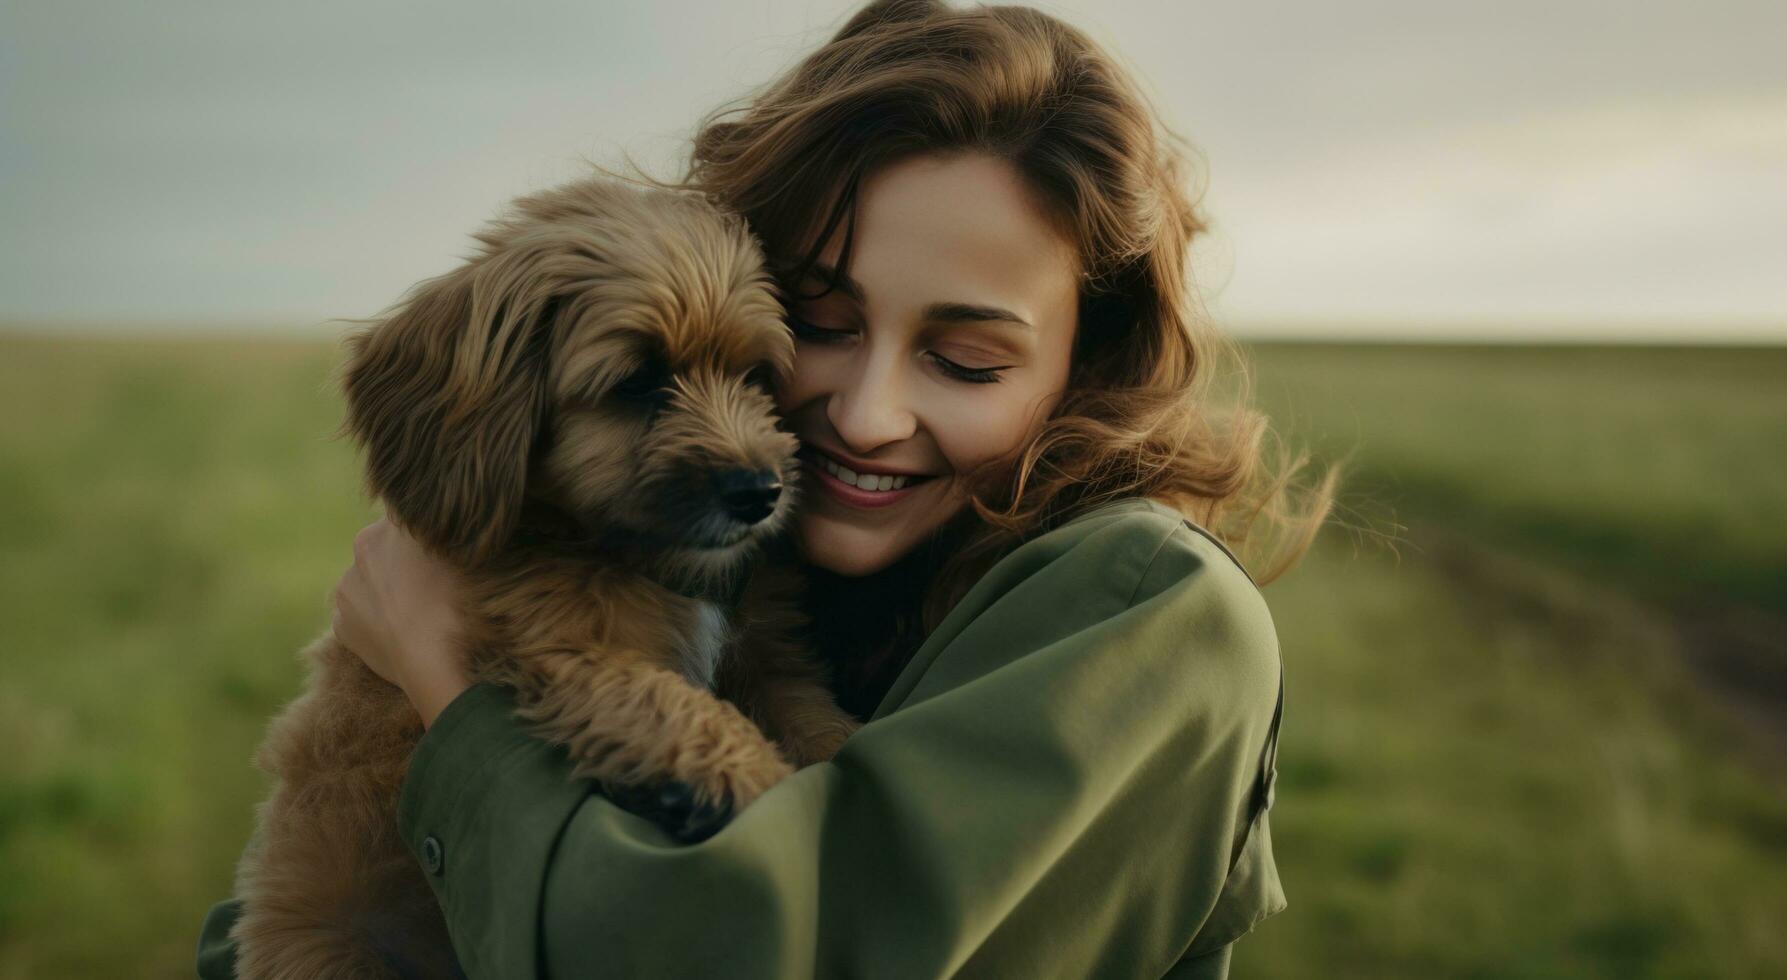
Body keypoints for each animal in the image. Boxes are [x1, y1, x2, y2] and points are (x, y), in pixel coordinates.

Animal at [226, 176, 868, 980]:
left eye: (754, 375)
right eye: (638, 382)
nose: (759, 493)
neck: (630, 552)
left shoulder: (769, 660)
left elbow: (816, 718)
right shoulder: (561, 648)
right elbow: (671, 700)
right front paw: (750, 777)